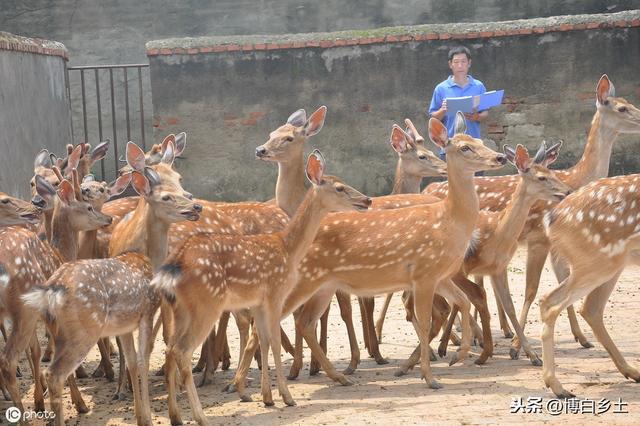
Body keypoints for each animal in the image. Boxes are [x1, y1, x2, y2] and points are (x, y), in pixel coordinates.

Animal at [23, 141, 201, 426]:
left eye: (179, 179)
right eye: (166, 197)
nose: (196, 206)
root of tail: (52, 291)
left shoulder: (126, 323)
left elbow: (132, 360)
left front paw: (139, 412)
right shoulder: (145, 313)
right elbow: (142, 360)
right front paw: (146, 415)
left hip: (56, 329)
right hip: (82, 330)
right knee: (54, 373)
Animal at [153, 149, 372, 422]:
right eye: (340, 188)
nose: (367, 200)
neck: (287, 248)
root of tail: (175, 264)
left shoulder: (257, 301)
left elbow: (264, 341)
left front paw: (267, 397)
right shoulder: (275, 293)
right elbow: (275, 342)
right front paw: (286, 397)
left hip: (179, 308)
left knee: (170, 348)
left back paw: (175, 415)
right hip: (206, 303)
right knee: (182, 350)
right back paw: (200, 416)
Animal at [424, 75, 640, 362]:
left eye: (630, 103)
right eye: (622, 108)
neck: (576, 177)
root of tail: (427, 189)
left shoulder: (555, 243)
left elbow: (559, 279)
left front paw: (581, 338)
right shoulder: (539, 237)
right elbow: (532, 289)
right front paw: (518, 347)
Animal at [544, 171, 640, 398]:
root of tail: (552, 218)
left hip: (608, 264)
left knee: (585, 307)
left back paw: (631, 371)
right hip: (598, 263)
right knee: (554, 305)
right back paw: (558, 387)